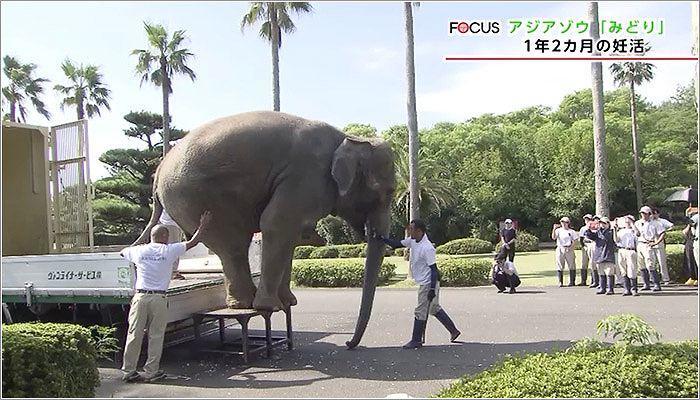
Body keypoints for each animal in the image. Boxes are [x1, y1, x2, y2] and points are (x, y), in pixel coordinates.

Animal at [131, 111, 394, 348]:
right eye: (385, 193)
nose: (349, 343)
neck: (349, 137)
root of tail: (160, 169)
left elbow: (292, 233)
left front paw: (289, 303)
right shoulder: (305, 177)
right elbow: (276, 224)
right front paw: (273, 306)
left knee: (233, 247)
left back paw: (244, 304)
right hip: (196, 197)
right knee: (232, 243)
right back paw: (249, 304)